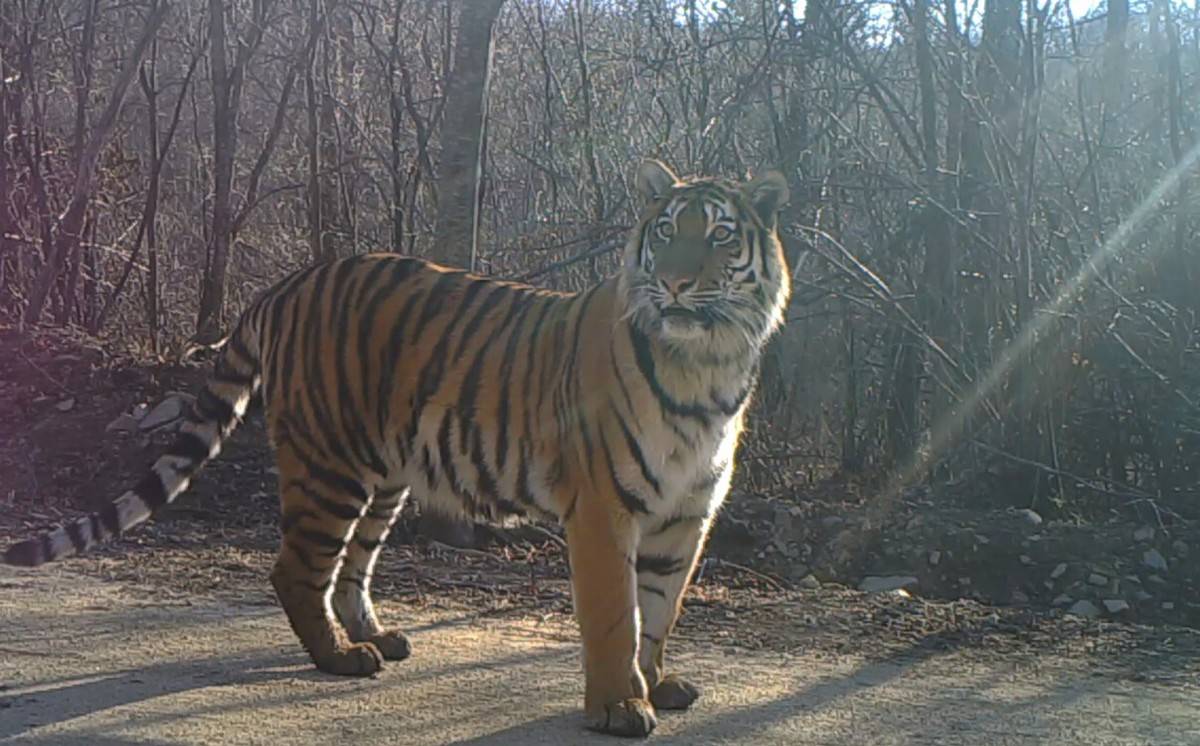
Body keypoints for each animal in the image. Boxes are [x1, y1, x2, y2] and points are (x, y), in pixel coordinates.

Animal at [4, 160, 792, 738]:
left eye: (719, 236)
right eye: (667, 233)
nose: (676, 281)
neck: (707, 365)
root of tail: (288, 284)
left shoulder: (686, 515)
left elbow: (660, 612)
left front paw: (656, 683)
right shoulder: (603, 510)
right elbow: (615, 617)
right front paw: (618, 706)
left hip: (383, 475)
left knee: (351, 568)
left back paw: (378, 639)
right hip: (328, 467)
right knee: (297, 569)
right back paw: (339, 658)